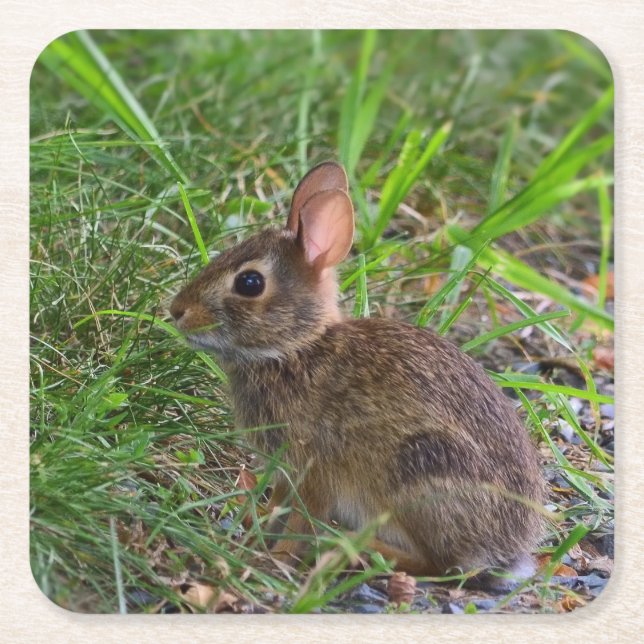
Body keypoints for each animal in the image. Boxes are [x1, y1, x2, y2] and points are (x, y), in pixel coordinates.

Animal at [170, 161, 545, 582]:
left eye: (249, 282)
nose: (176, 310)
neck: (296, 349)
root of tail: (509, 548)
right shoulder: (285, 471)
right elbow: (279, 505)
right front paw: (254, 525)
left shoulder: (314, 468)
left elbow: (302, 517)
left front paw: (276, 557)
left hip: (420, 472)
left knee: (439, 564)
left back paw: (353, 548)